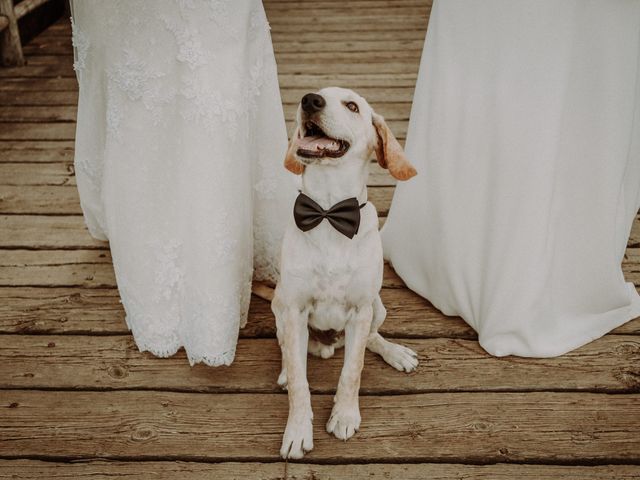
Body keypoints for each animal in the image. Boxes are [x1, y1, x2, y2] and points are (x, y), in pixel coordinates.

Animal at [272, 88, 418, 460]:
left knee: (371, 340)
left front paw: (345, 416)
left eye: (352, 106)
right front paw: (297, 430)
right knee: (289, 351)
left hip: (378, 307)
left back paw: (395, 353)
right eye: (316, 95)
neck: (327, 211)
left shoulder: (361, 308)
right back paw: (285, 369)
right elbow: (300, 383)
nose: (310, 100)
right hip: (279, 308)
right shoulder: (293, 309)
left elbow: (353, 370)